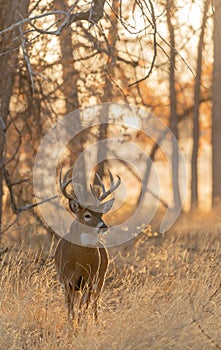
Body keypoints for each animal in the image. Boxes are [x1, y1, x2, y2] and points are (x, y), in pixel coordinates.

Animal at [54, 168, 121, 324]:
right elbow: (71, 309)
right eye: (87, 215)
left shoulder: (90, 280)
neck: (79, 261)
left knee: (94, 303)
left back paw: (96, 323)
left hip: (101, 278)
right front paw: (71, 326)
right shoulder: (67, 280)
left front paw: (81, 326)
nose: (103, 226)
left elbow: (82, 309)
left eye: (101, 214)